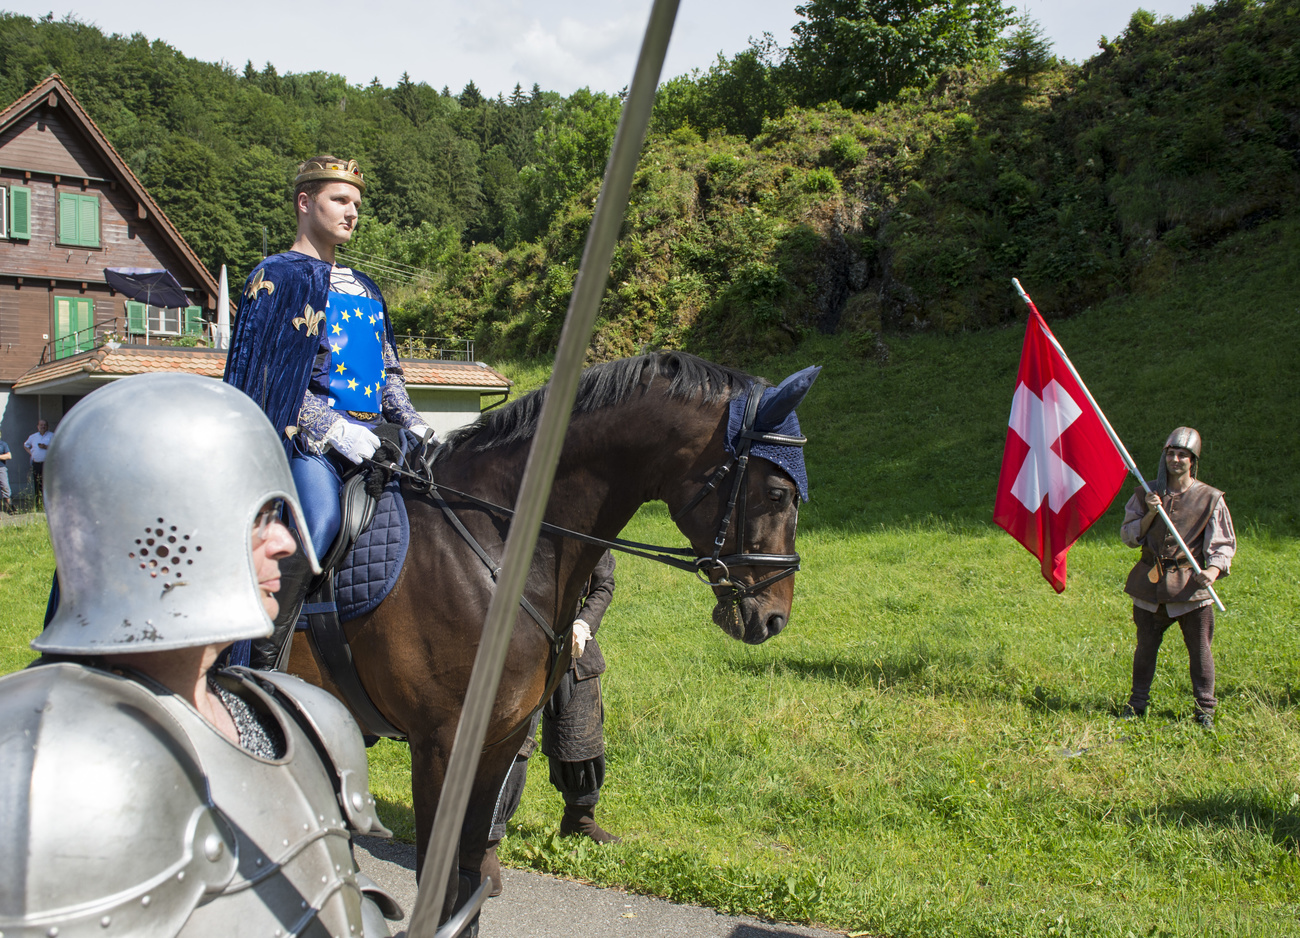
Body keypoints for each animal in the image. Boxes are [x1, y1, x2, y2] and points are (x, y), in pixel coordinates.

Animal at [289, 350, 806, 919]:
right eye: (778, 493)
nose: (775, 618)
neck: (492, 544)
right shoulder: (440, 746)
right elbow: (440, 887)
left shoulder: (501, 736)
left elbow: (469, 874)